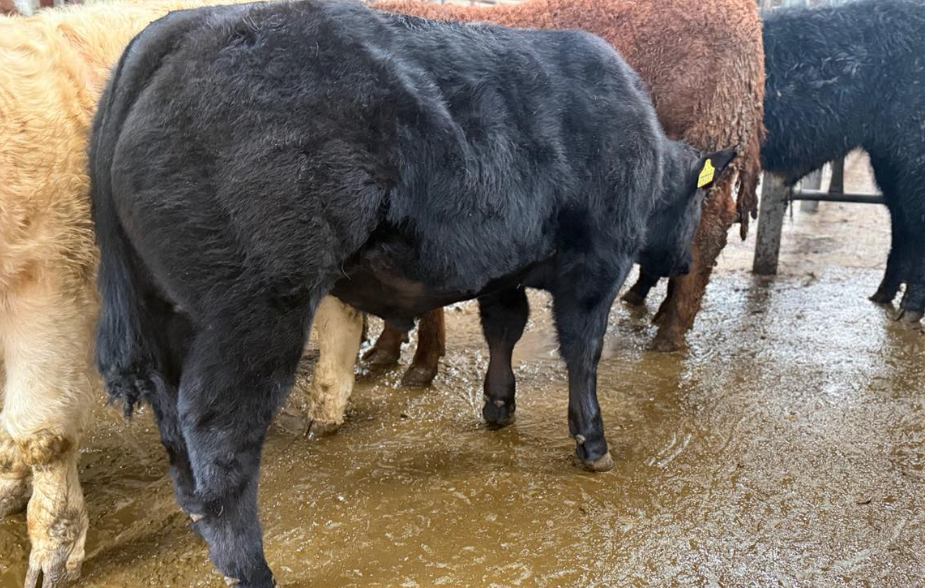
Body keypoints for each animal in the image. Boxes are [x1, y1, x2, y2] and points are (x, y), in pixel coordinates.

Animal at [89, 1, 735, 584]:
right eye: (699, 201)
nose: (681, 260)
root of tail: (185, 27)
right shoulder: (596, 265)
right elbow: (583, 351)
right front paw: (592, 442)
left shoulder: (504, 269)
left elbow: (505, 327)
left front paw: (498, 406)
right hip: (257, 311)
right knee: (219, 432)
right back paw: (251, 569)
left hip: (168, 318)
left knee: (174, 424)